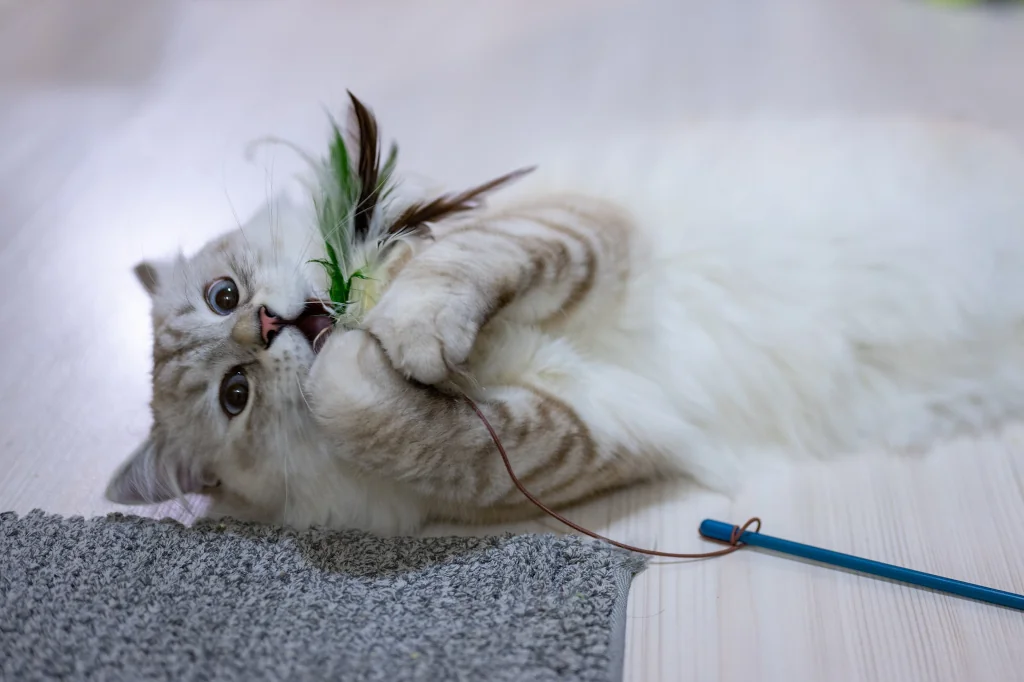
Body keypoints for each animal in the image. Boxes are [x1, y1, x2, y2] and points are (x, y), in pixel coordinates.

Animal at [105, 109, 1024, 532]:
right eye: (236, 396)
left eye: (223, 297)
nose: (267, 327)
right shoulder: (592, 433)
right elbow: (400, 418)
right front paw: (366, 363)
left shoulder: (577, 230)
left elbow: (456, 273)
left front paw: (394, 326)